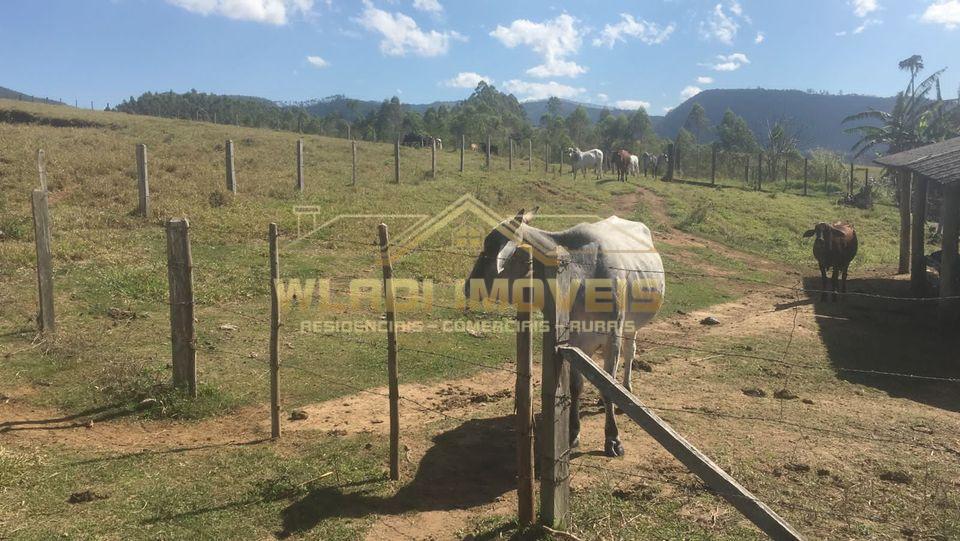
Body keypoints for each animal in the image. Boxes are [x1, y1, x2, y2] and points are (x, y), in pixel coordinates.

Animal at [466, 207, 668, 456]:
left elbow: (608, 386)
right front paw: (573, 432)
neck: (580, 277)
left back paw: (627, 389)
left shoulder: (613, 336)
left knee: (630, 353)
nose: (468, 286)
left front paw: (612, 438)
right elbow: (575, 387)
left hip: (630, 327)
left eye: (489, 247)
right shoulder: (573, 344)